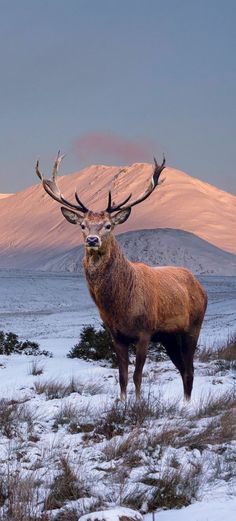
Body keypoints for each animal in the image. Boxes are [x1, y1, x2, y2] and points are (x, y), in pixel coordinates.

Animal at [35, 152, 206, 400]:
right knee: (183, 369)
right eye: (83, 225)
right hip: (169, 337)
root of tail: (200, 286)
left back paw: (188, 404)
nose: (92, 240)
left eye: (108, 225)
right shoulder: (116, 335)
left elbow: (137, 376)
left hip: (193, 326)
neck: (121, 306)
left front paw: (138, 403)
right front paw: (123, 402)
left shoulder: (145, 331)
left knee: (190, 369)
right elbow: (122, 376)